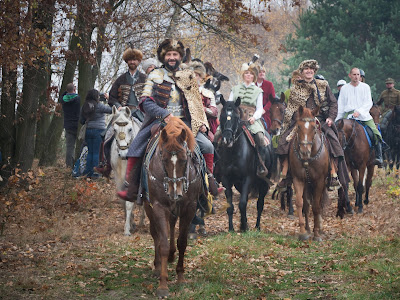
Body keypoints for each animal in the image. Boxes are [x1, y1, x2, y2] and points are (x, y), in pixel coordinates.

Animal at [142, 117, 202, 298]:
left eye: (184, 159)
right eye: (163, 159)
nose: (175, 192)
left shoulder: (189, 208)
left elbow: (182, 241)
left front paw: (180, 277)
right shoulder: (159, 207)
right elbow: (162, 243)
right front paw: (163, 285)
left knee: (172, 224)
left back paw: (171, 256)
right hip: (149, 207)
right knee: (155, 234)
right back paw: (157, 266)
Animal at [216, 97, 276, 231]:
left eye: (236, 117)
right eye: (222, 116)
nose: (227, 139)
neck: (234, 152)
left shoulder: (247, 178)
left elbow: (242, 203)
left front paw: (244, 227)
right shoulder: (226, 179)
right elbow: (231, 206)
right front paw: (232, 228)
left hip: (263, 183)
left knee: (260, 204)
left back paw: (257, 226)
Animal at [290, 105, 330, 241]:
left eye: (313, 127)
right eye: (298, 126)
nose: (304, 152)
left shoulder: (319, 181)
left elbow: (317, 206)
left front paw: (317, 233)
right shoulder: (298, 179)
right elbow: (300, 203)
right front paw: (303, 231)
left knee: (319, 204)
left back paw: (319, 228)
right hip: (307, 184)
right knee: (307, 205)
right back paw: (308, 229)